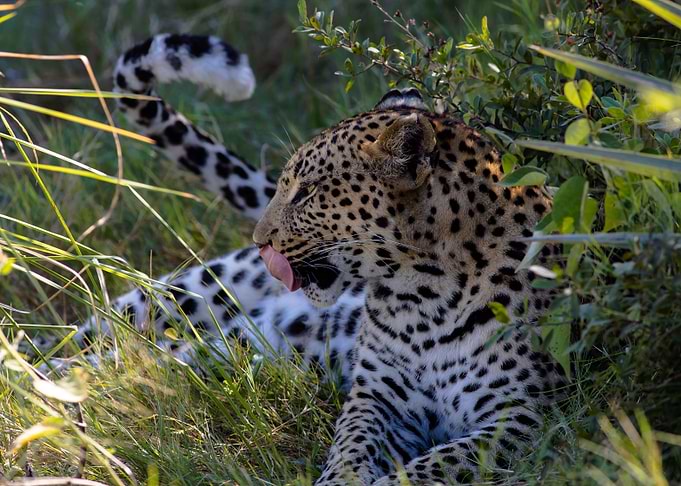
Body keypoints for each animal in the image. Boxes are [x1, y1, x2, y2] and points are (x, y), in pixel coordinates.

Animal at [59, 34, 568, 484]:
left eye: (306, 193)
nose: (260, 240)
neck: (422, 295)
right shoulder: (377, 396)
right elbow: (352, 443)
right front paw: (340, 479)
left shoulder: (523, 415)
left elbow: (438, 464)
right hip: (191, 289)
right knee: (92, 335)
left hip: (226, 347)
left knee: (142, 362)